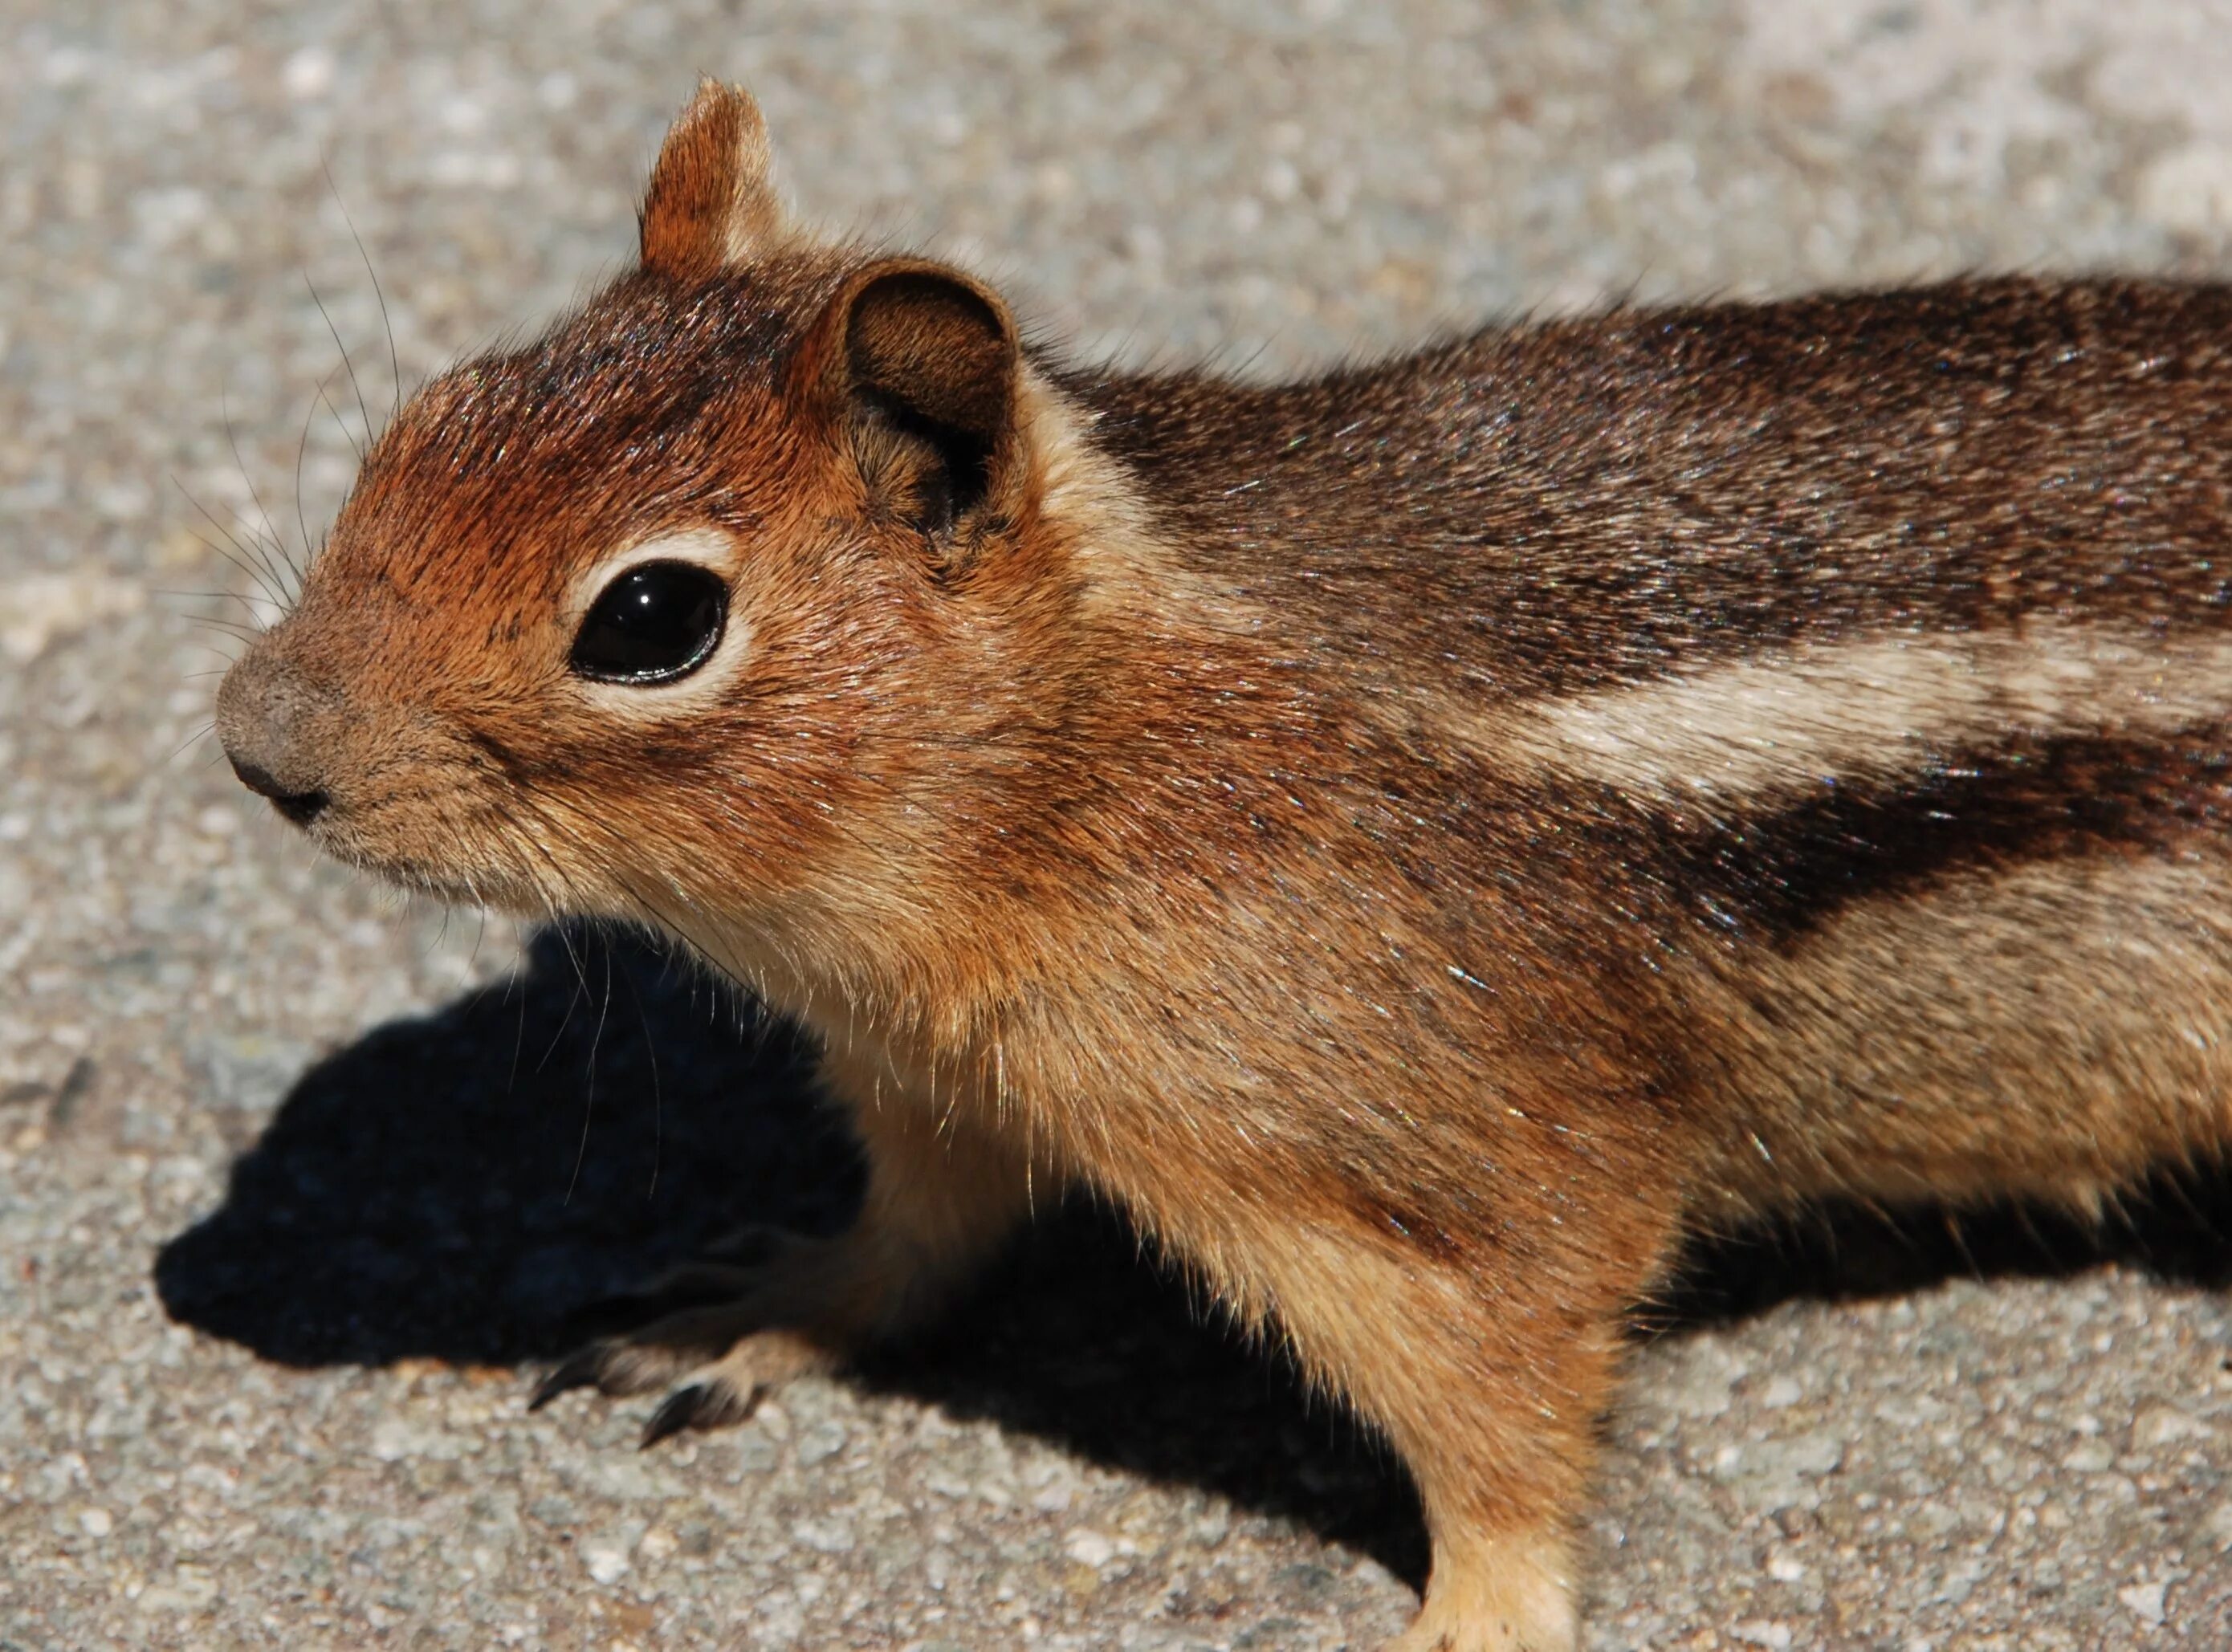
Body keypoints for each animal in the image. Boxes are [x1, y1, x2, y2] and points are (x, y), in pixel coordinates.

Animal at [218, 83, 2232, 1652]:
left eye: (651, 620)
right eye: (427, 421)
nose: (256, 744)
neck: (1077, 762)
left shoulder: (1472, 1169)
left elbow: (1515, 1426)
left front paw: (1468, 1619)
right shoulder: (941, 1080)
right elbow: (909, 1242)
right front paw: (758, 1309)